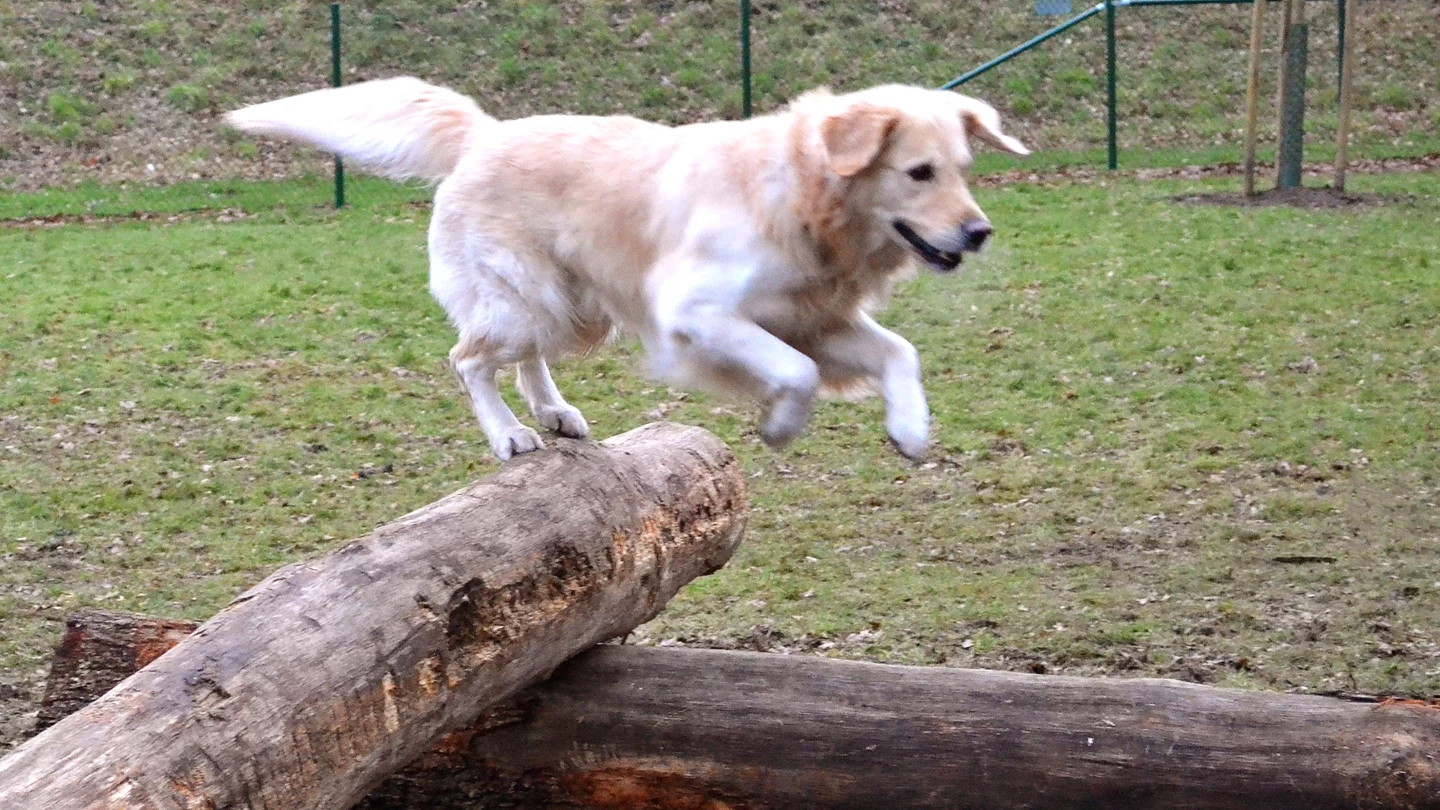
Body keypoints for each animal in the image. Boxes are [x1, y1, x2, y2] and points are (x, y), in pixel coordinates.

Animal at [227, 78, 1025, 458]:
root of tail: (486, 134)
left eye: (963, 168)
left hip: (573, 307)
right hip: (526, 298)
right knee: (469, 359)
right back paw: (509, 435)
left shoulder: (814, 317)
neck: (804, 197)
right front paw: (779, 424)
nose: (979, 232)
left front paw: (910, 429)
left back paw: (554, 411)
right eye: (919, 173)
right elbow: (796, 373)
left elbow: (899, 352)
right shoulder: (697, 314)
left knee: (524, 358)